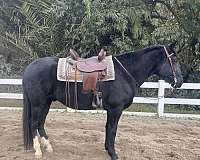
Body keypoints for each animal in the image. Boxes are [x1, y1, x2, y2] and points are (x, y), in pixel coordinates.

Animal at [22, 44, 183, 159]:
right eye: (174, 60)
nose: (180, 81)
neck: (124, 73)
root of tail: (30, 67)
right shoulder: (115, 109)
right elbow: (112, 129)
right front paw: (113, 154)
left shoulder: (111, 110)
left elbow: (108, 128)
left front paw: (107, 149)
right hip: (38, 104)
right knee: (33, 124)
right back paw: (38, 152)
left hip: (46, 103)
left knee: (41, 124)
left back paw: (48, 147)